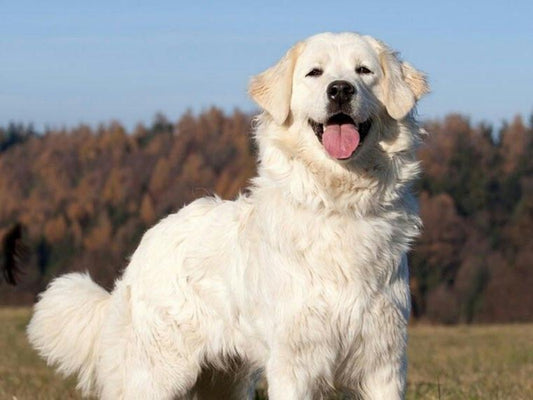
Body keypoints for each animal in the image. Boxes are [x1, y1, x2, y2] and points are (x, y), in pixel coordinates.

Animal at [28, 32, 428, 400]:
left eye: (364, 71)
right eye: (315, 73)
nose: (341, 90)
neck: (337, 202)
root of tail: (147, 241)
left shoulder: (385, 361)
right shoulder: (294, 361)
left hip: (224, 379)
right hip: (157, 372)